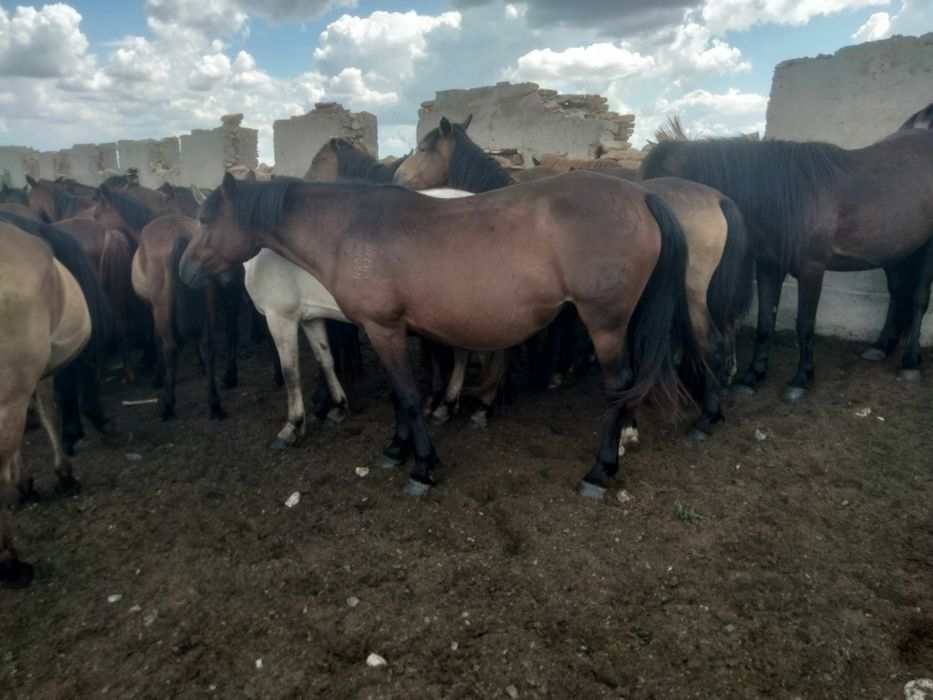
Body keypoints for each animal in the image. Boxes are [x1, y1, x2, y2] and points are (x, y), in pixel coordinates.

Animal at [132, 215, 229, 420]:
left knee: (170, 348)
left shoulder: (153, 309)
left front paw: (158, 375)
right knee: (208, 345)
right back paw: (215, 403)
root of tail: (179, 232)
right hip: (207, 298)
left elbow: (156, 338)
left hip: (161, 307)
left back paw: (168, 405)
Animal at [179, 172, 703, 498]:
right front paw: (396, 450)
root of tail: (641, 197)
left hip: (605, 323)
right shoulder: (383, 329)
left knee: (618, 389)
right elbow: (399, 396)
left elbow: (410, 397)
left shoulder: (382, 328)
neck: (350, 229)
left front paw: (422, 466)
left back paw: (598, 471)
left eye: (205, 220)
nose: (184, 272)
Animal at [394, 117, 753, 443]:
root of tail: (718, 199)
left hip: (689, 295)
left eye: (423, 148)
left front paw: (493, 397)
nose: (396, 177)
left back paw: (703, 416)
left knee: (710, 343)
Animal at [641, 104, 933, 399]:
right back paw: (880, 347)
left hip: (925, 249)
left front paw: (801, 379)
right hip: (897, 252)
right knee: (898, 294)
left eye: (663, 186)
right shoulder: (768, 268)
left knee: (918, 300)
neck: (789, 195)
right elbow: (765, 324)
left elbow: (805, 324)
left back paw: (910, 363)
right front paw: (753, 376)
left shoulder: (812, 270)